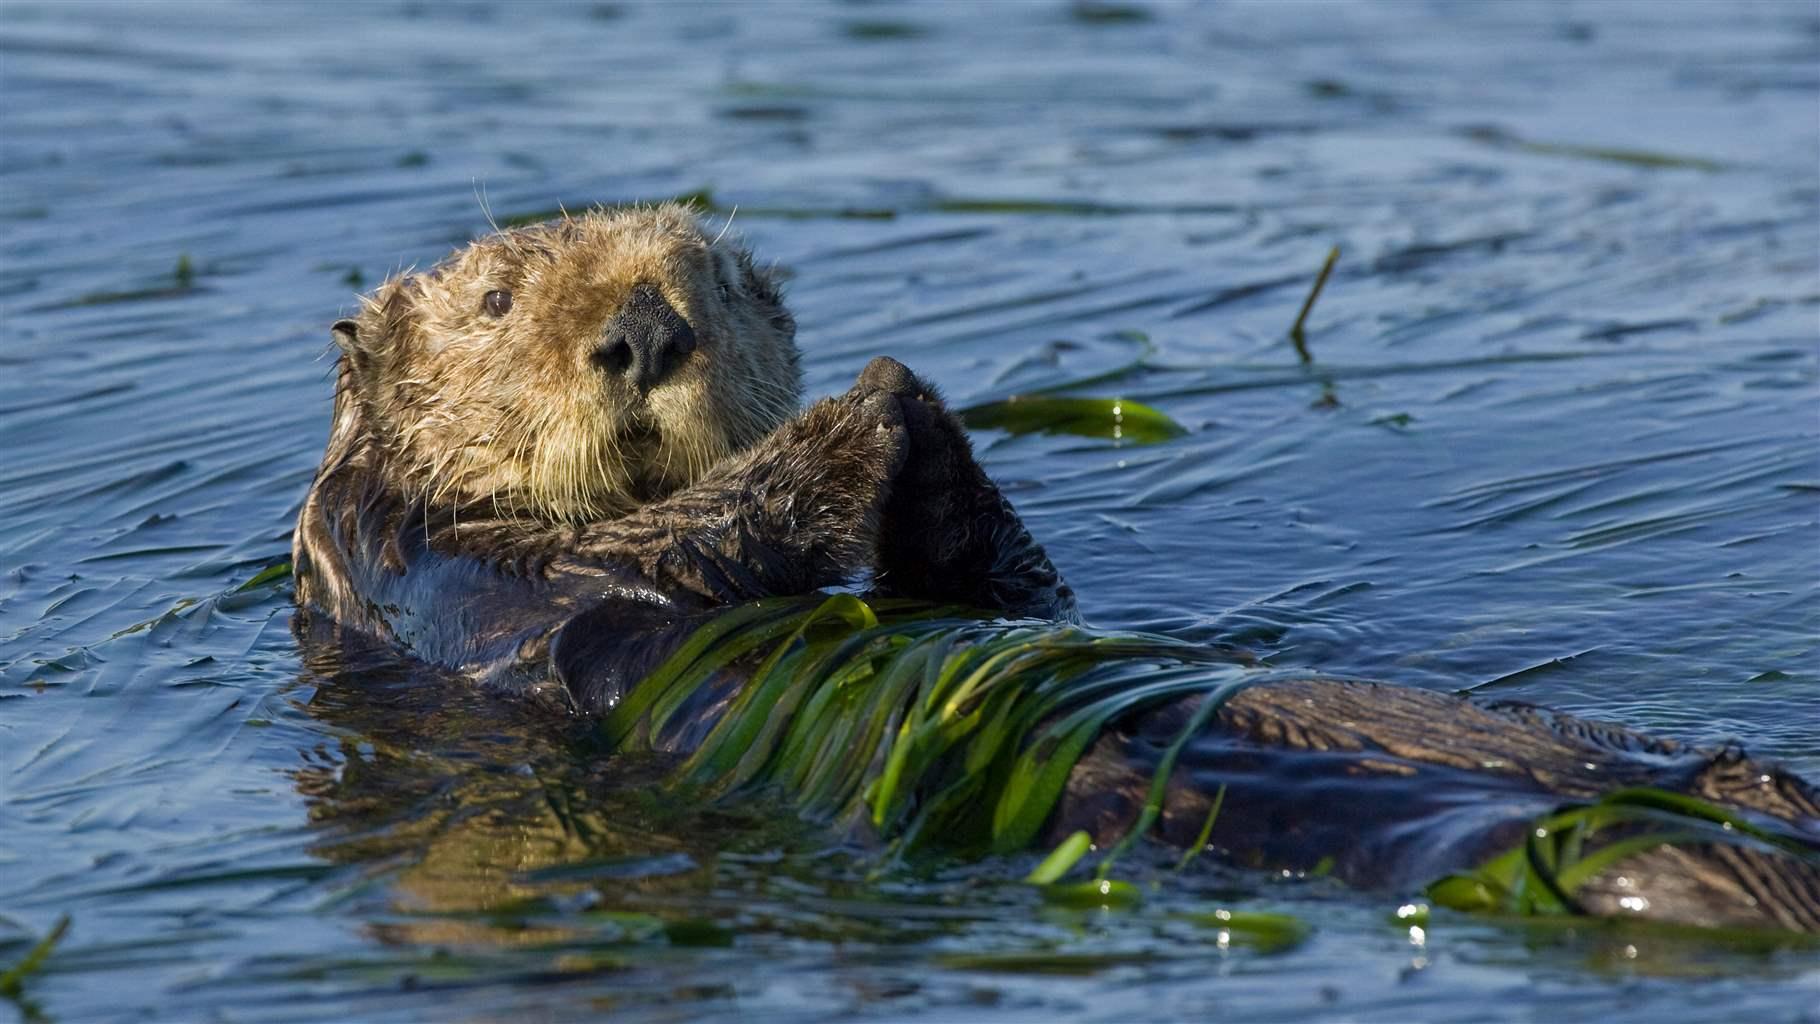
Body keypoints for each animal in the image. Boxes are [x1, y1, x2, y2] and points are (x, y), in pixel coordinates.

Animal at [291, 208, 1812, 938]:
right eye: (498, 301)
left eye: (712, 278)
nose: (647, 333)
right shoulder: (442, 563)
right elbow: (667, 548)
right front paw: (865, 408)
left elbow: (1009, 594)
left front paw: (915, 408)